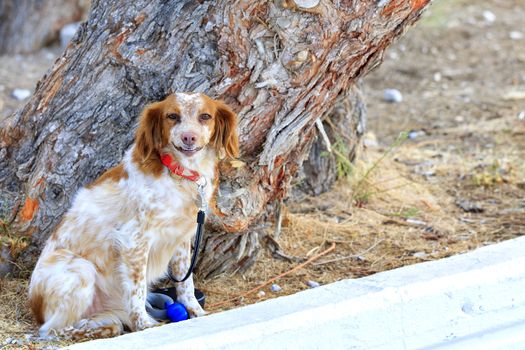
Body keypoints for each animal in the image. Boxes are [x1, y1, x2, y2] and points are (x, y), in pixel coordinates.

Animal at [29, 91, 238, 338]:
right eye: (172, 116)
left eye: (205, 116)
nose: (189, 137)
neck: (179, 173)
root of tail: (35, 306)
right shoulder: (134, 240)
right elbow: (137, 289)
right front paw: (143, 325)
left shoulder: (181, 238)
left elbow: (186, 283)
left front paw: (196, 312)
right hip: (81, 270)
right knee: (52, 330)